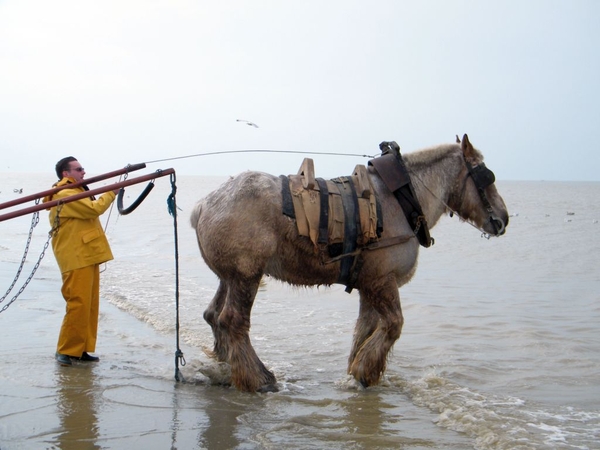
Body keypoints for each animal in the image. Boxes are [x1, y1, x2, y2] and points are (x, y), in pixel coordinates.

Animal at [191, 134, 506, 390]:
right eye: (486, 176)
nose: (503, 218)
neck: (402, 198)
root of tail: (204, 204)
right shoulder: (383, 281)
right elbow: (394, 324)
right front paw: (366, 371)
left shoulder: (370, 285)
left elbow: (365, 328)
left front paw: (358, 371)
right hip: (247, 275)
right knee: (233, 320)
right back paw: (257, 378)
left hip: (231, 277)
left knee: (213, 315)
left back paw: (227, 366)